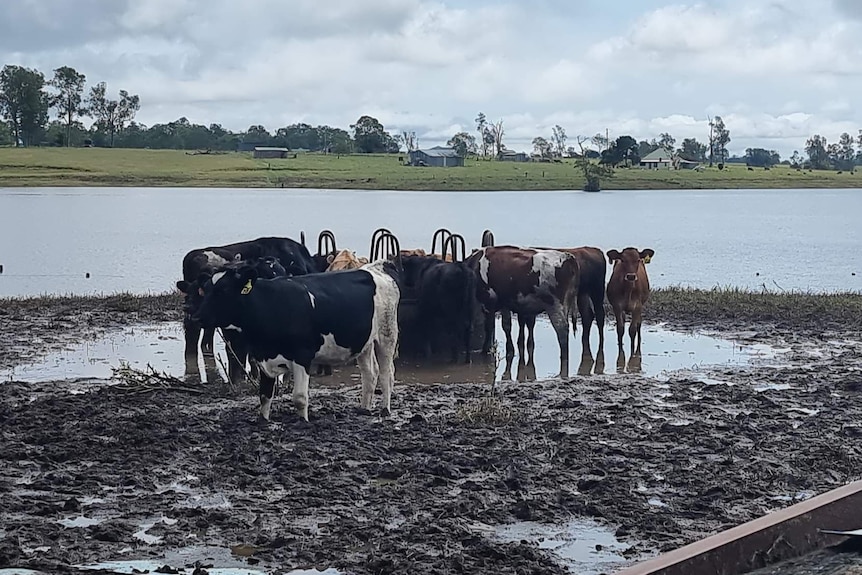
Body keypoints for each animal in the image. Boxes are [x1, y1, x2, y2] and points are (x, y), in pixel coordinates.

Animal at [192, 260, 402, 424]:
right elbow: (264, 395)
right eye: (206, 290)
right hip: (363, 342)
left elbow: (299, 397)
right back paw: (364, 409)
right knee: (370, 373)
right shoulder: (262, 357)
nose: (197, 317)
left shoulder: (302, 355)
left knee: (386, 373)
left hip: (387, 335)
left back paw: (385, 410)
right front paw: (263, 420)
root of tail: (374, 267)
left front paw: (303, 421)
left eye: (224, 290)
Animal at [466, 244, 580, 374]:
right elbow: (507, 326)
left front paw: (485, 350)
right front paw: (510, 349)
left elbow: (489, 326)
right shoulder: (505, 302)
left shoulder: (489, 300)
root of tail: (567, 256)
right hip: (566, 304)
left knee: (562, 329)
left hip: (554, 304)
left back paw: (564, 357)